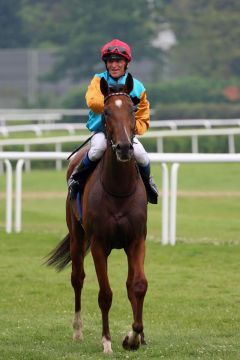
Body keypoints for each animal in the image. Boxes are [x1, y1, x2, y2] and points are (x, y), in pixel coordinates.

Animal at [46, 73, 148, 354]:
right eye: (107, 113)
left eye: (132, 110)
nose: (124, 147)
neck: (119, 189)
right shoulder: (100, 244)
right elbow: (105, 294)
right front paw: (107, 341)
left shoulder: (136, 240)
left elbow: (137, 285)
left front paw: (134, 336)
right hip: (77, 236)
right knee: (77, 278)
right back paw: (78, 331)